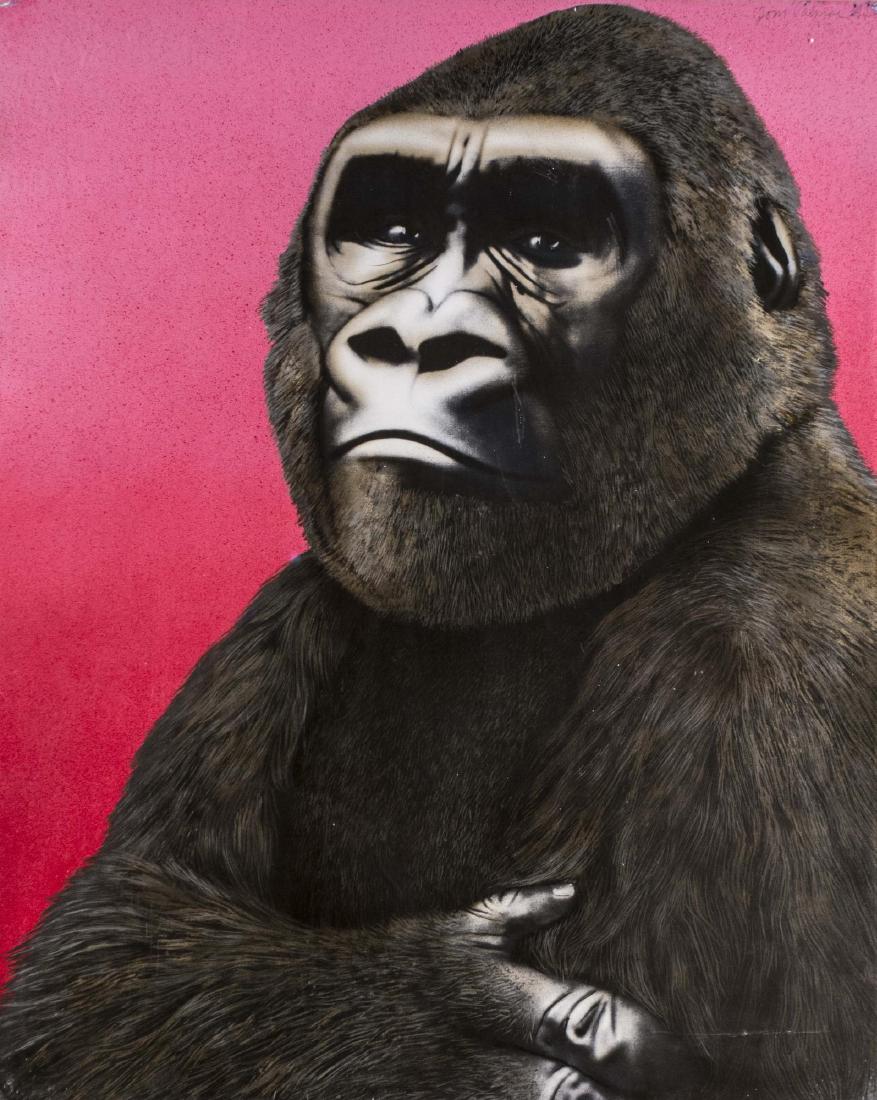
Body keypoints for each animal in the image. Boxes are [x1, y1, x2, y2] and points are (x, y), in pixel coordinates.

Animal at [1, 4, 874, 1099]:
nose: (417, 342)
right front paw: (436, 997)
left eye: (547, 239)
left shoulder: (757, 663)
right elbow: (106, 953)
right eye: (391, 230)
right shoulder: (292, 608)